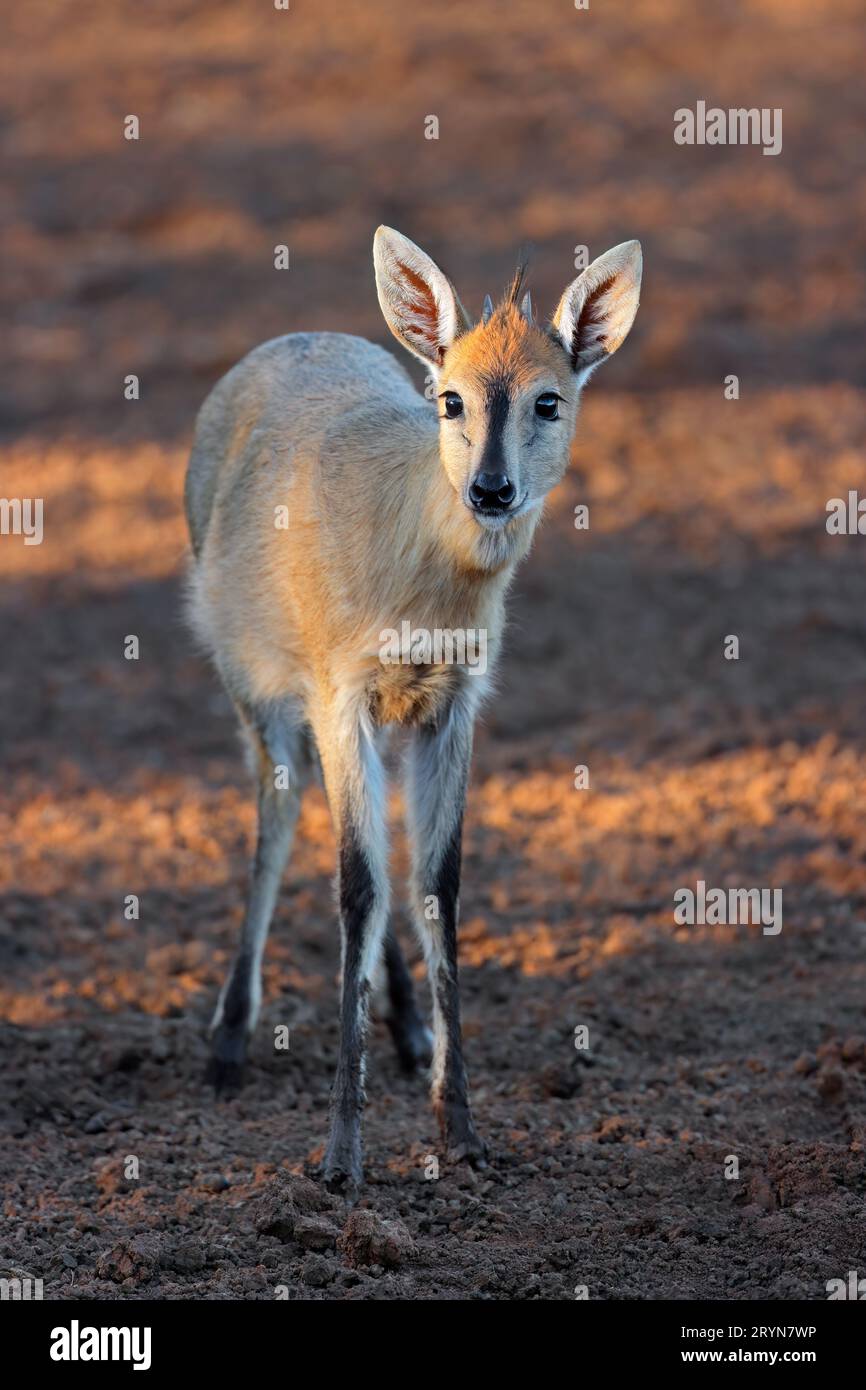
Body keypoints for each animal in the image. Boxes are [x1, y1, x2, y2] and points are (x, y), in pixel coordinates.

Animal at [186, 227, 639, 1195]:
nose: (493, 490)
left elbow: (436, 881)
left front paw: (460, 1131)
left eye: (549, 399)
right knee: (281, 812)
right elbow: (356, 885)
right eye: (452, 398)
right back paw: (228, 1044)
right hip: (257, 689)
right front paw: (340, 1158)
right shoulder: (339, 690)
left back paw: (405, 1029)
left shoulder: (452, 705)